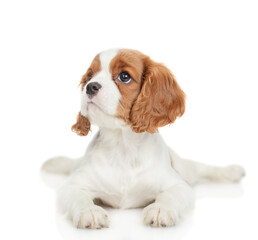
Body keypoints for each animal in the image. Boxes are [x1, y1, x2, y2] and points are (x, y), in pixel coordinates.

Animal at [41, 48, 244, 229]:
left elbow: (170, 195)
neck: (122, 144)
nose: (90, 86)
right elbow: (79, 197)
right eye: (90, 75)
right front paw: (90, 212)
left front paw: (160, 210)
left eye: (124, 76)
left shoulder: (178, 185)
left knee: (201, 168)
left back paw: (231, 172)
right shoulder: (72, 185)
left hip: (185, 169)